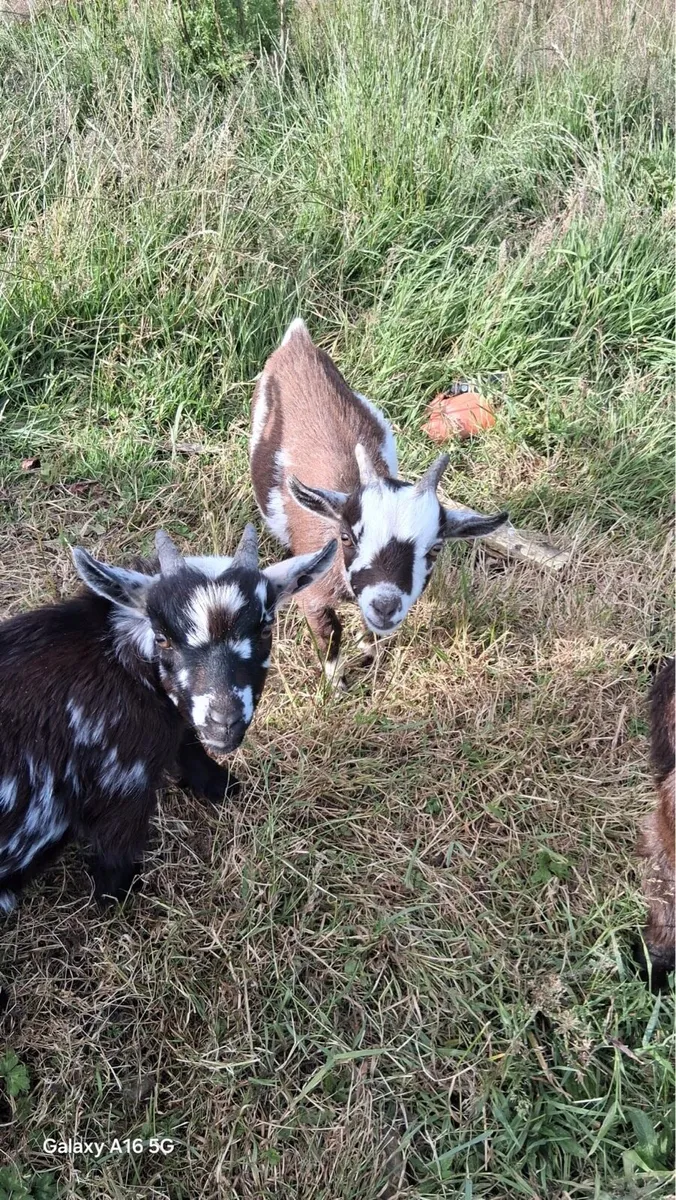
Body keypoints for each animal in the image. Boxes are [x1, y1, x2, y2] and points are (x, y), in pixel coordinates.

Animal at [0, 525, 336, 910]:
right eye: (162, 638)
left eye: (266, 629)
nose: (225, 722)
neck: (119, 663)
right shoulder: (126, 785)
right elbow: (115, 858)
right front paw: (116, 897)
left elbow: (188, 745)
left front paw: (222, 785)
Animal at [250, 318, 508, 682]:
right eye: (346, 537)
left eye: (435, 548)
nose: (384, 605)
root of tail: (299, 342)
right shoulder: (313, 598)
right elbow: (328, 635)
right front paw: (337, 682)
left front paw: (369, 652)